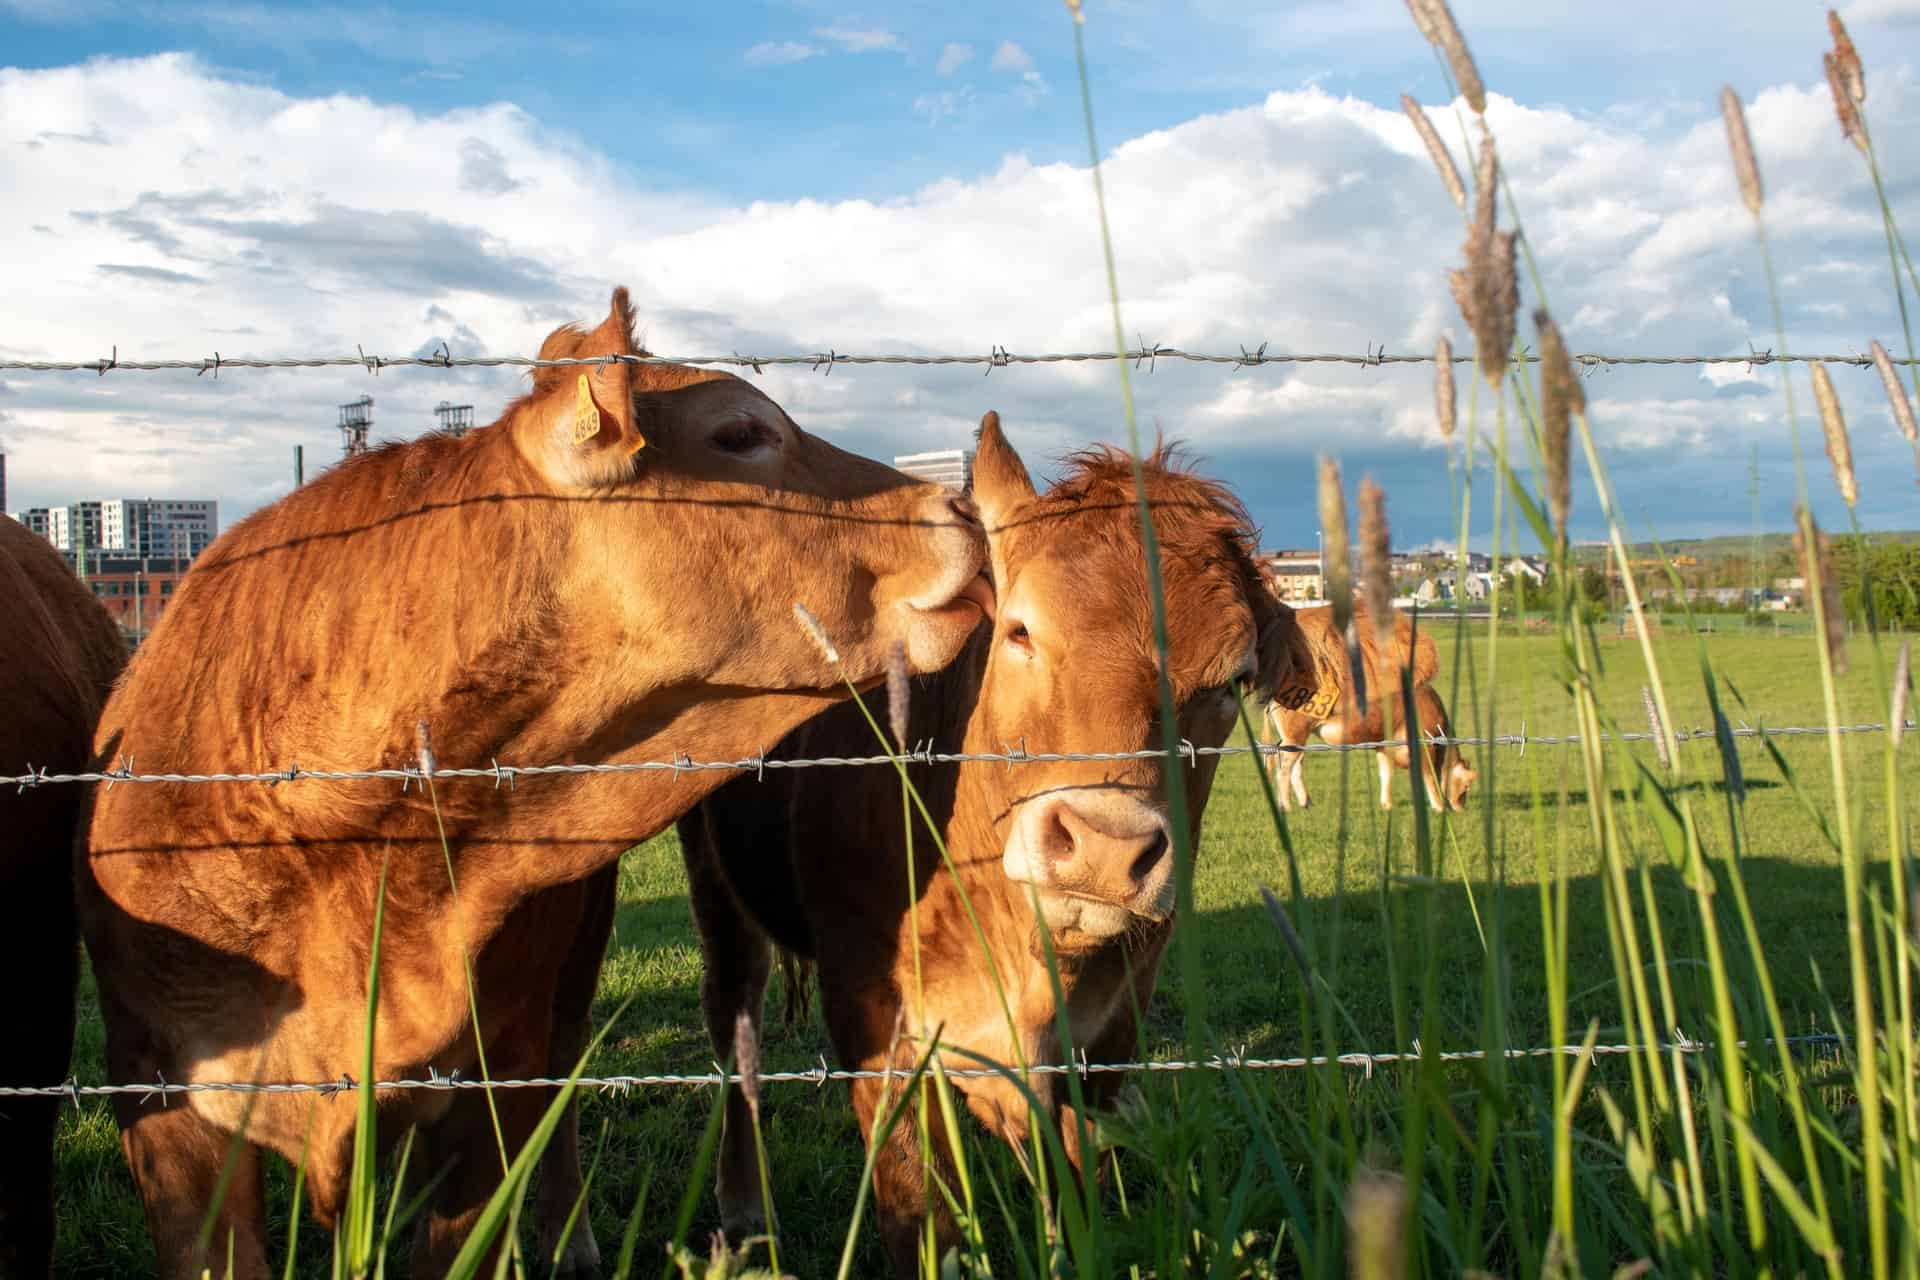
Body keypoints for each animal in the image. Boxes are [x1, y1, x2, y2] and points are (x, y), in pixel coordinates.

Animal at [668, 418, 1313, 1274]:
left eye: (1230, 682)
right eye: (1020, 630)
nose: (1105, 847)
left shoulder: (1110, 1038)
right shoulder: (880, 1037)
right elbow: (923, 1226)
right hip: (716, 881)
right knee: (733, 1014)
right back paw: (742, 1213)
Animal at [1251, 602, 1474, 809]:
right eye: (1466, 787)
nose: (1461, 808)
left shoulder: (1383, 743)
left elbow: (1386, 773)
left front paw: (1387, 805)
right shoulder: (1424, 745)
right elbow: (1430, 778)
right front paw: (1438, 807)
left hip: (1297, 738)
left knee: (1296, 765)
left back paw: (1306, 803)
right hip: (1294, 736)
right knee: (1284, 769)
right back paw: (1286, 806)